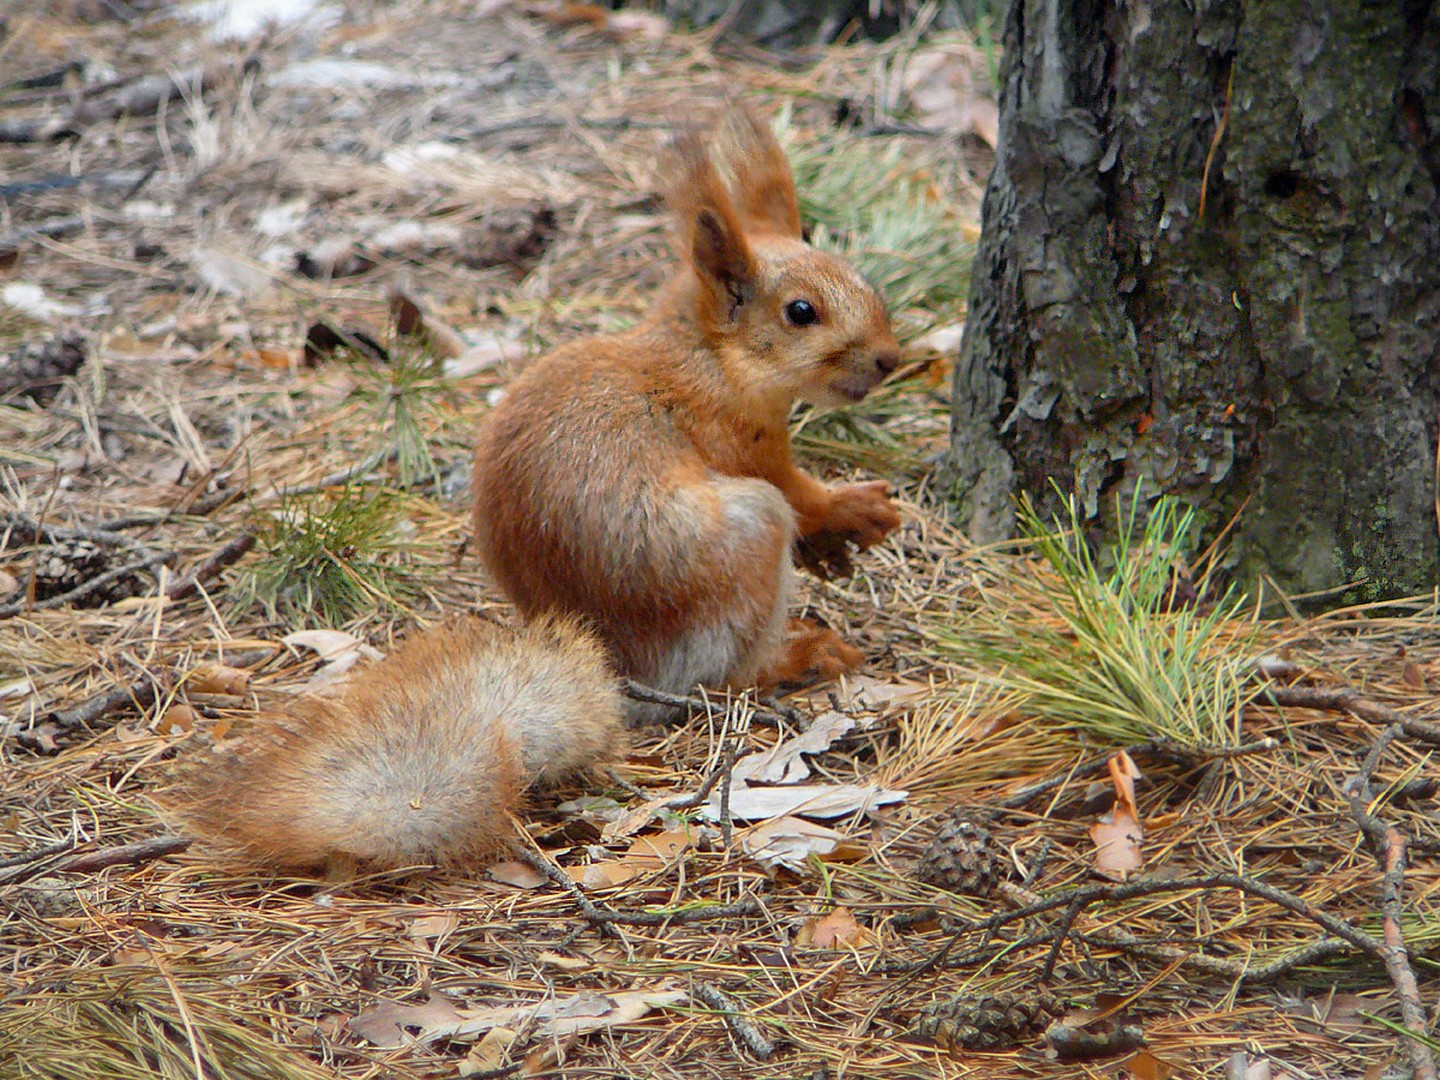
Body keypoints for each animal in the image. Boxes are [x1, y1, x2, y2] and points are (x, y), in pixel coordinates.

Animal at [177, 108, 898, 881]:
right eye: (802, 312)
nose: (890, 359)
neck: (703, 359)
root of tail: (620, 668)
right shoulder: (743, 442)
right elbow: (800, 492)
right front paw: (855, 508)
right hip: (744, 542)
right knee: (729, 674)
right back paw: (800, 654)